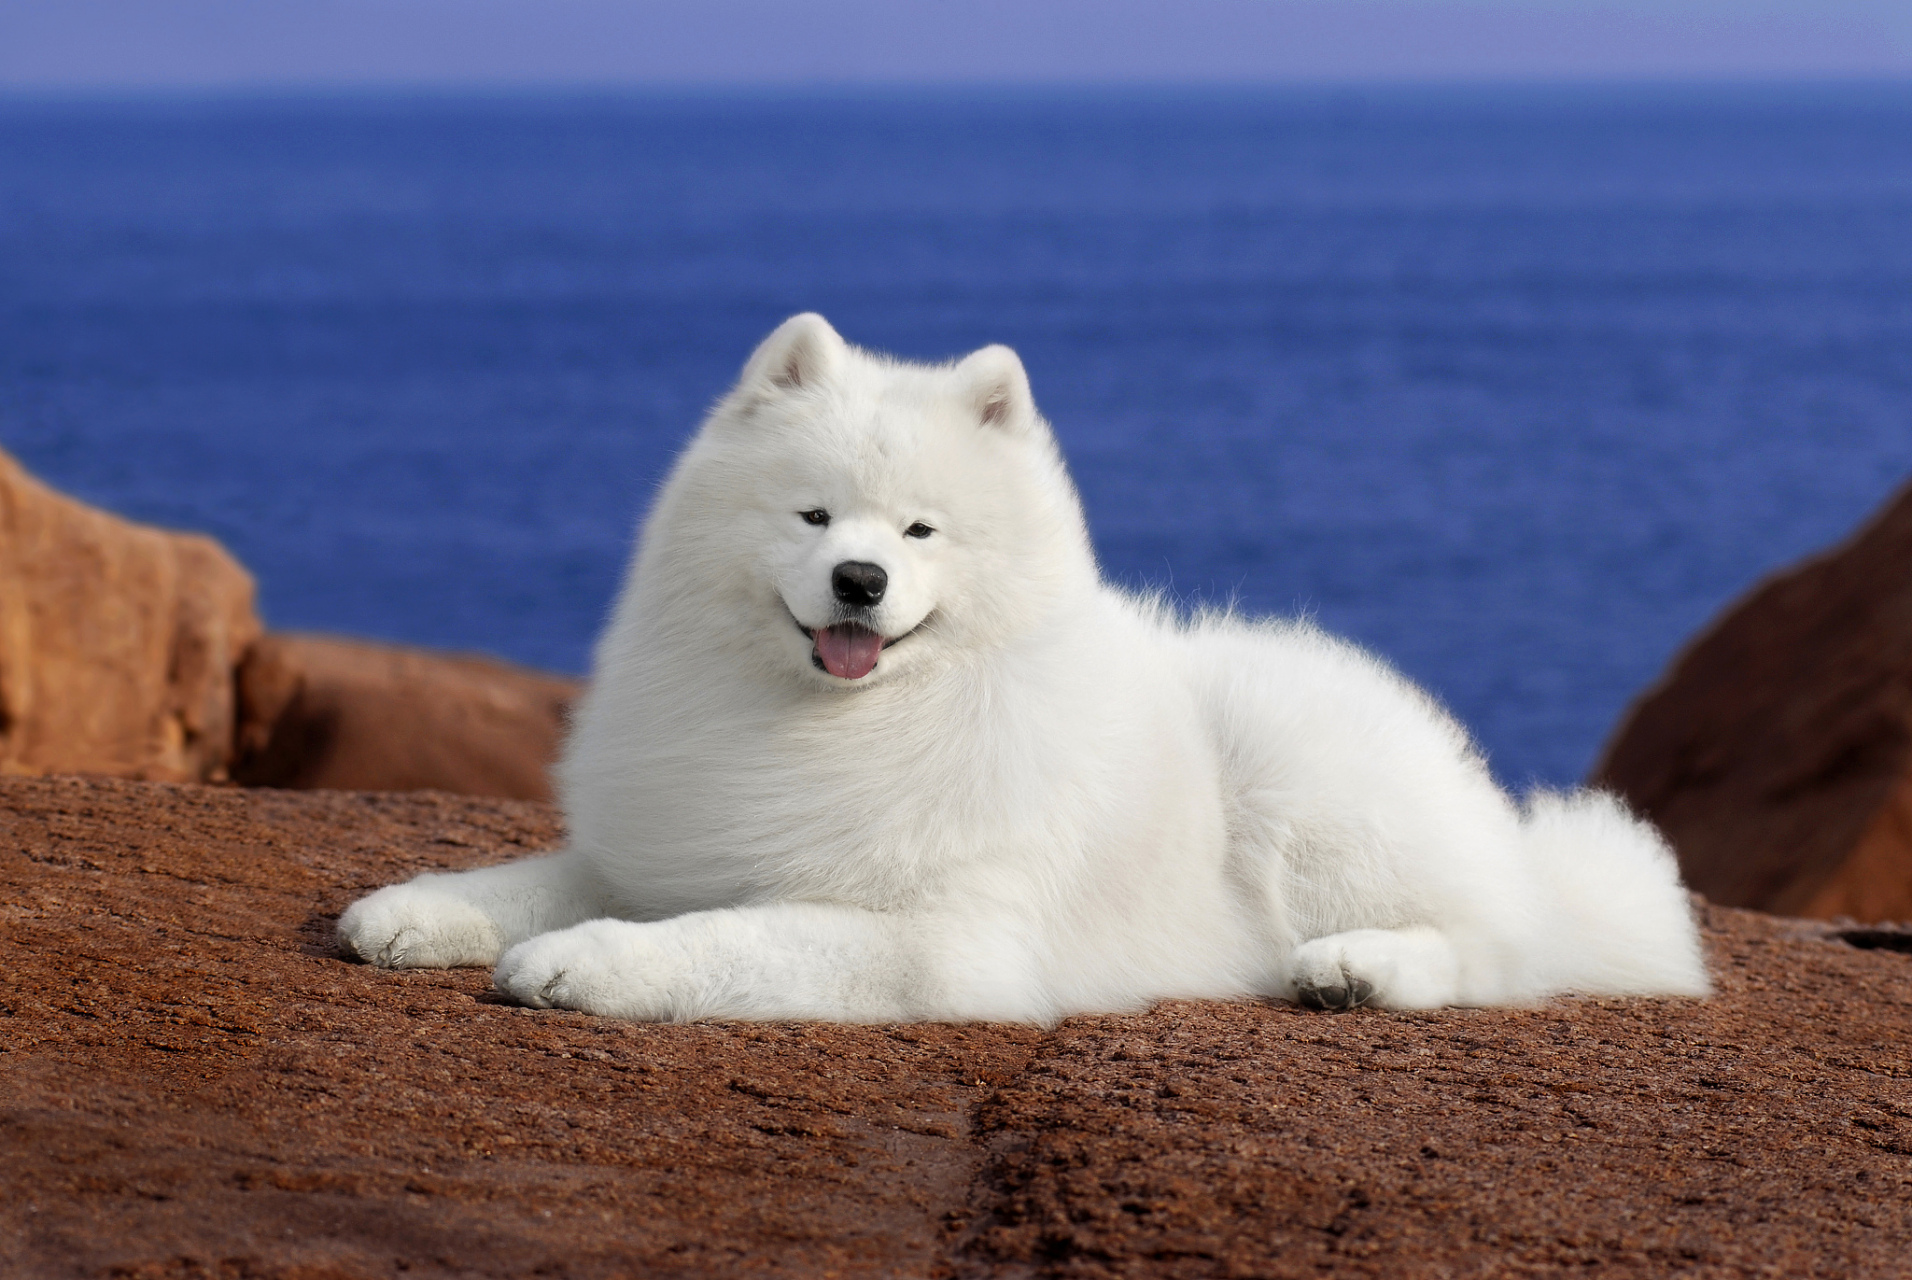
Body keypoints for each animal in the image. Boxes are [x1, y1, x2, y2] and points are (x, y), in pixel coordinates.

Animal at [336, 313, 1713, 1025]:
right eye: (813, 515)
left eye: (919, 531)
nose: (859, 581)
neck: (840, 720)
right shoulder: (665, 843)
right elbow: (536, 876)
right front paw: (418, 909)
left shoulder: (937, 937)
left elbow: (730, 936)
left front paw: (590, 964)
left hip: (1305, 789)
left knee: (1495, 951)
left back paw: (1354, 969)